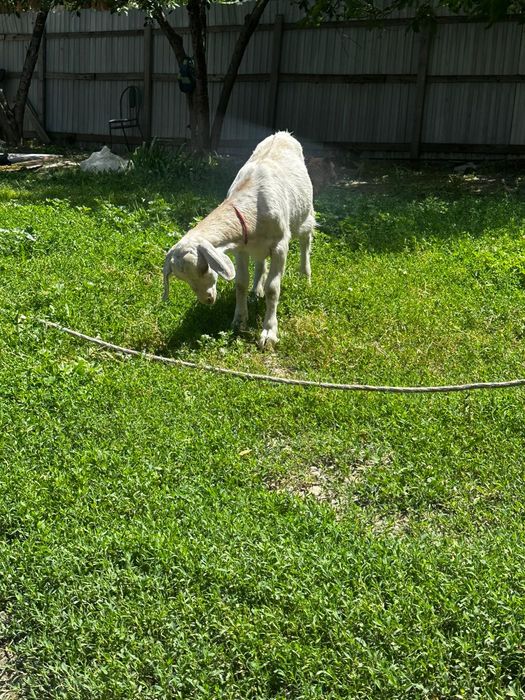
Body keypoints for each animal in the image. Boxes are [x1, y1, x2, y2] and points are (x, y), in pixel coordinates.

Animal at [163, 132, 315, 349]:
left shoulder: (280, 245)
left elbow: (272, 289)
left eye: (204, 268)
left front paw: (269, 333)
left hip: (305, 215)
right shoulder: (241, 247)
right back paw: (256, 290)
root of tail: (283, 133)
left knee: (305, 241)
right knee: (260, 262)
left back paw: (305, 278)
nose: (207, 299)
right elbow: (241, 283)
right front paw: (239, 321)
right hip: (257, 246)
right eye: (182, 278)